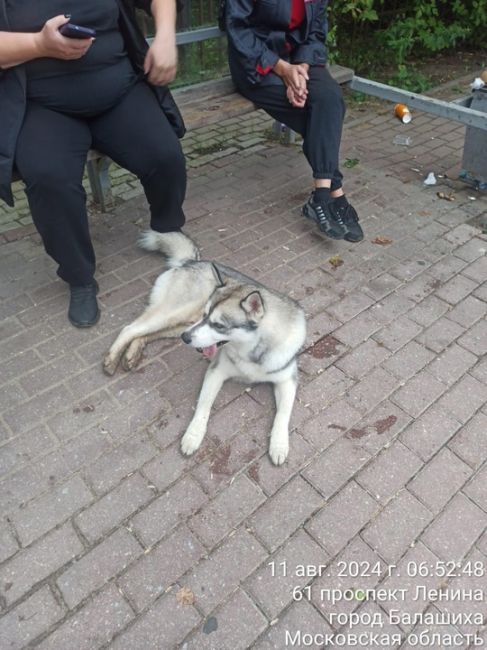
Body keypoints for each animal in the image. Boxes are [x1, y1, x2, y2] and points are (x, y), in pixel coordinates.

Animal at [104, 230, 306, 464]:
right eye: (206, 315)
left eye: (218, 325)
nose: (185, 338)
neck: (253, 350)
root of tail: (193, 261)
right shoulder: (216, 371)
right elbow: (204, 405)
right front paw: (194, 435)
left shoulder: (287, 381)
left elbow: (283, 414)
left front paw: (279, 444)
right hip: (176, 316)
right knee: (130, 328)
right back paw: (112, 359)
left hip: (180, 323)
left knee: (143, 335)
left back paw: (131, 354)